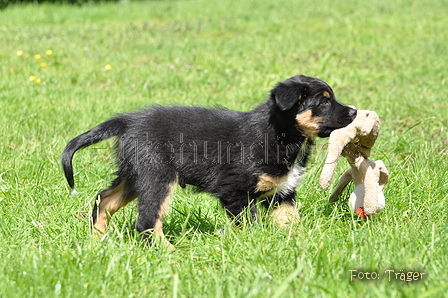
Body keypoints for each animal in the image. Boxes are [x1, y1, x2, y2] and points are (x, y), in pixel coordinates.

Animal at [62, 74, 356, 244]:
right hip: (158, 177)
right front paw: (255, 245)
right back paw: (168, 252)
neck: (281, 134)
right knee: (146, 221)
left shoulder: (281, 193)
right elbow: (249, 224)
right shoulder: (234, 191)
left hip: (136, 174)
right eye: (324, 101)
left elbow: (292, 222)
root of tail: (127, 121)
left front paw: (303, 244)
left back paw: (97, 241)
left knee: (104, 200)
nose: (354, 111)